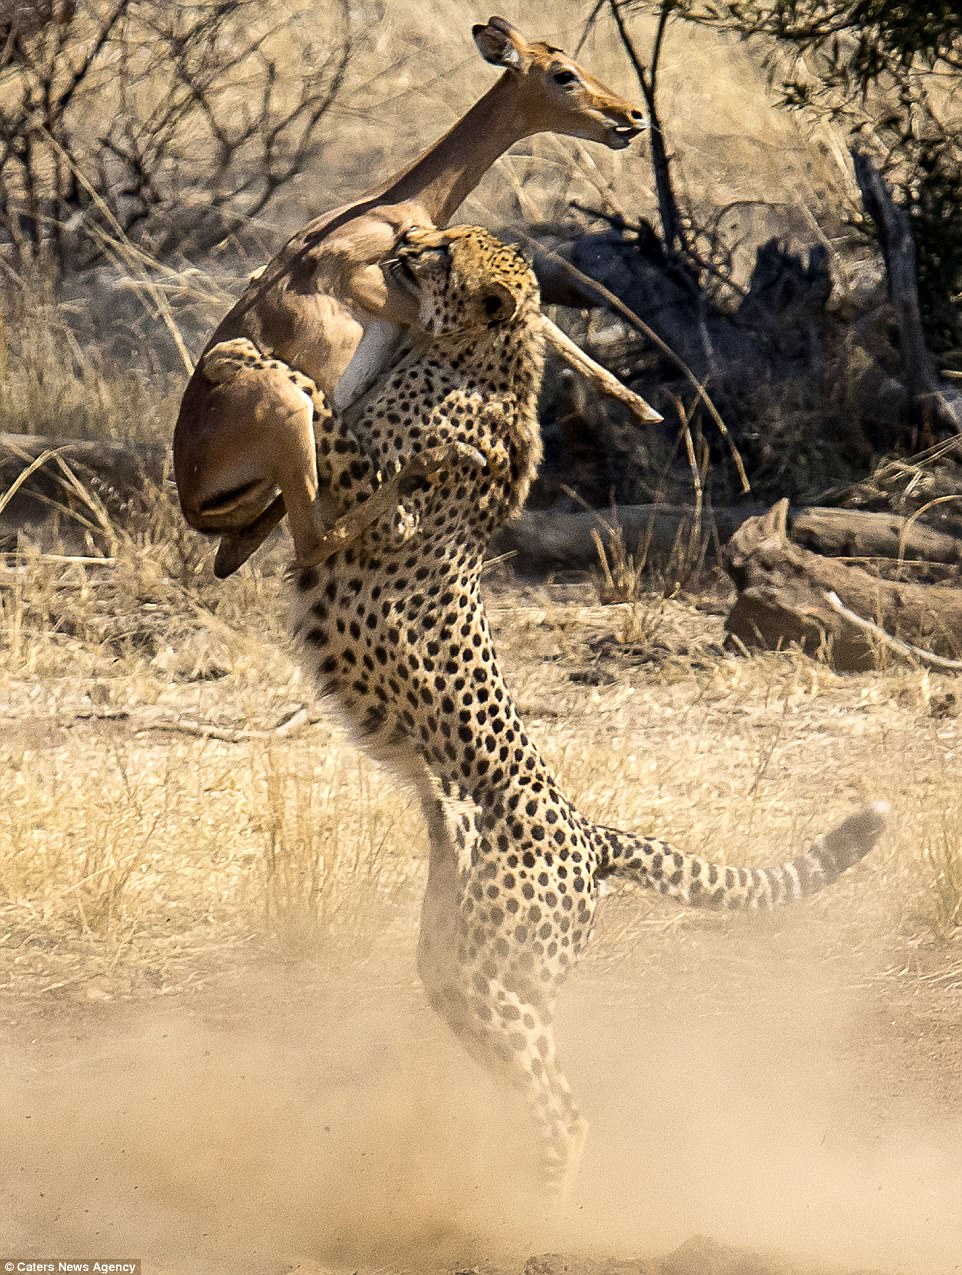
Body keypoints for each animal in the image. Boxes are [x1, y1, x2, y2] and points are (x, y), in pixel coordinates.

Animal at [239, 226, 886, 1193]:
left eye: (441, 256)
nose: (406, 242)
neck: (465, 355)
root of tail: (590, 831)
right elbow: (333, 405)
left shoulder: (379, 512)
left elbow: (332, 419)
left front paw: (260, 362)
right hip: (464, 961)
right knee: (524, 1066)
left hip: (491, 970)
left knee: (565, 1107)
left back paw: (532, 1203)